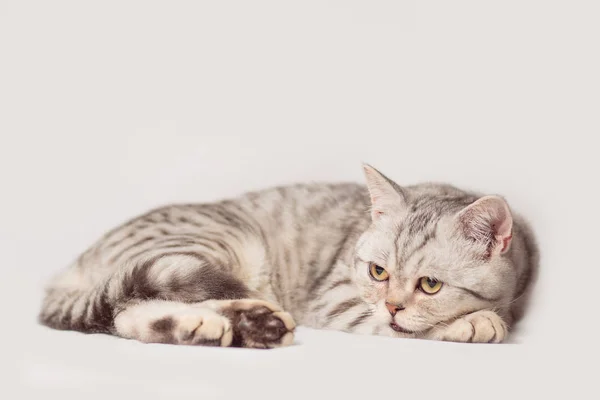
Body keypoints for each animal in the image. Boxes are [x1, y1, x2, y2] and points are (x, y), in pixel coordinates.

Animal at [39, 165, 536, 346]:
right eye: (378, 272)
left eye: (430, 284)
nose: (393, 304)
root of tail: (70, 268)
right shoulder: (335, 300)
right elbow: (401, 327)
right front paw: (474, 322)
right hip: (214, 243)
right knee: (134, 301)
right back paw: (247, 321)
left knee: (126, 313)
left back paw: (215, 327)